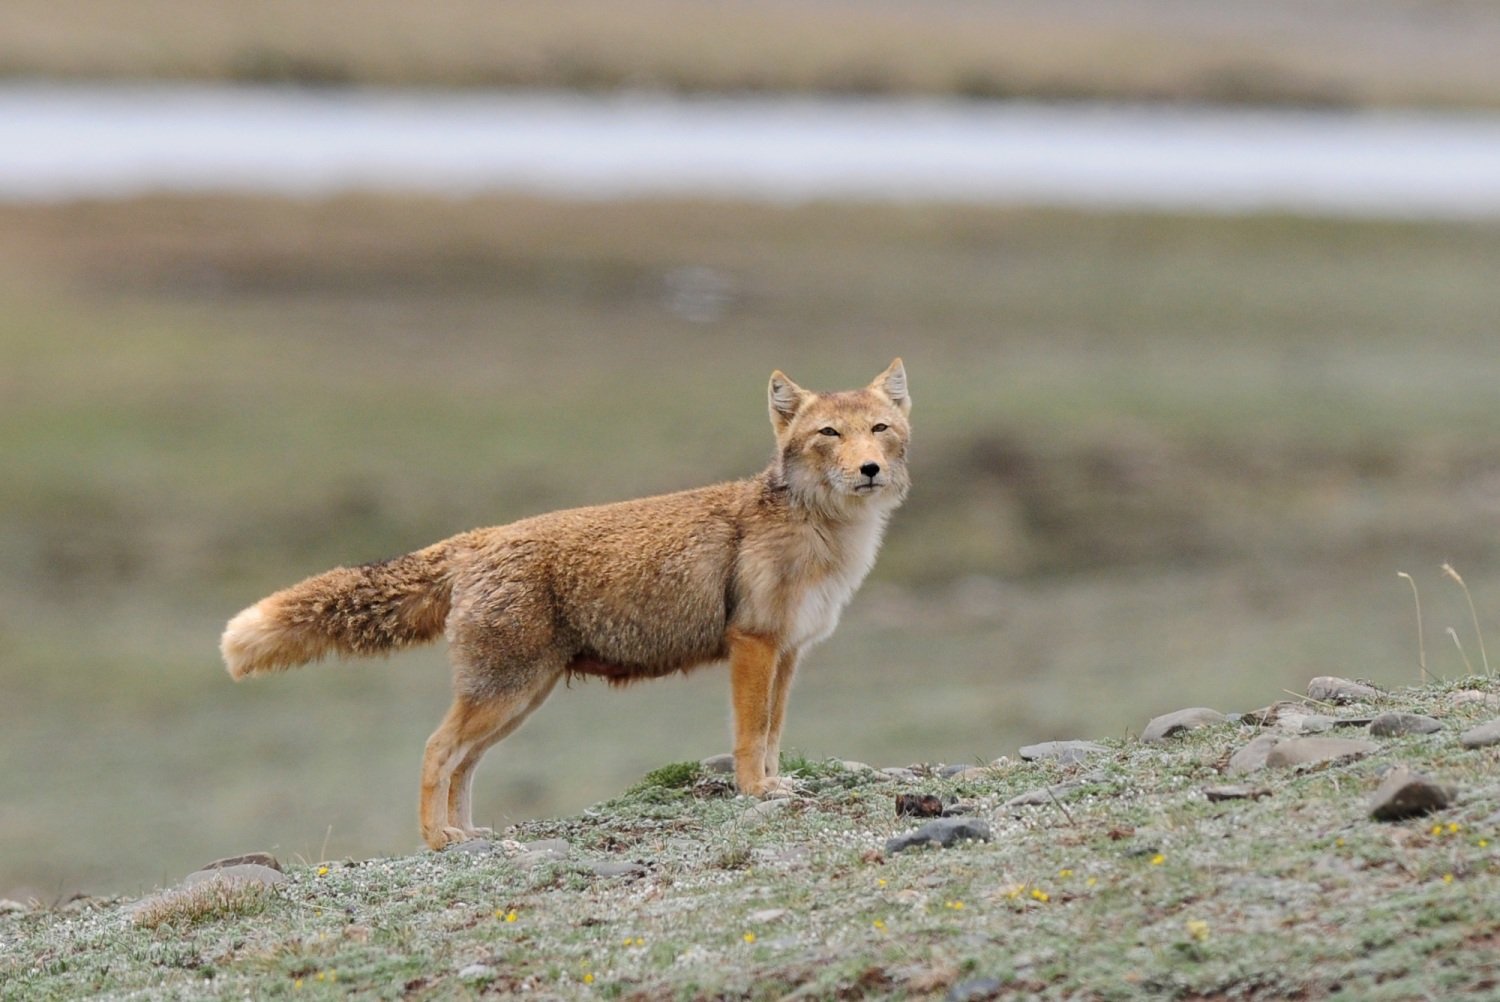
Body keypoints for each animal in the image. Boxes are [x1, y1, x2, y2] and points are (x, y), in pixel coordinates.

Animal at [217, 360, 906, 846]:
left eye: (880, 430)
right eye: (828, 434)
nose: (869, 469)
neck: (822, 532)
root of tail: (480, 537)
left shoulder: (788, 653)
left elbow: (772, 732)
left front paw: (775, 781)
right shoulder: (753, 645)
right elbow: (748, 734)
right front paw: (756, 792)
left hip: (519, 700)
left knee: (463, 764)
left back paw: (466, 832)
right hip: (504, 693)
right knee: (436, 750)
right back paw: (437, 840)